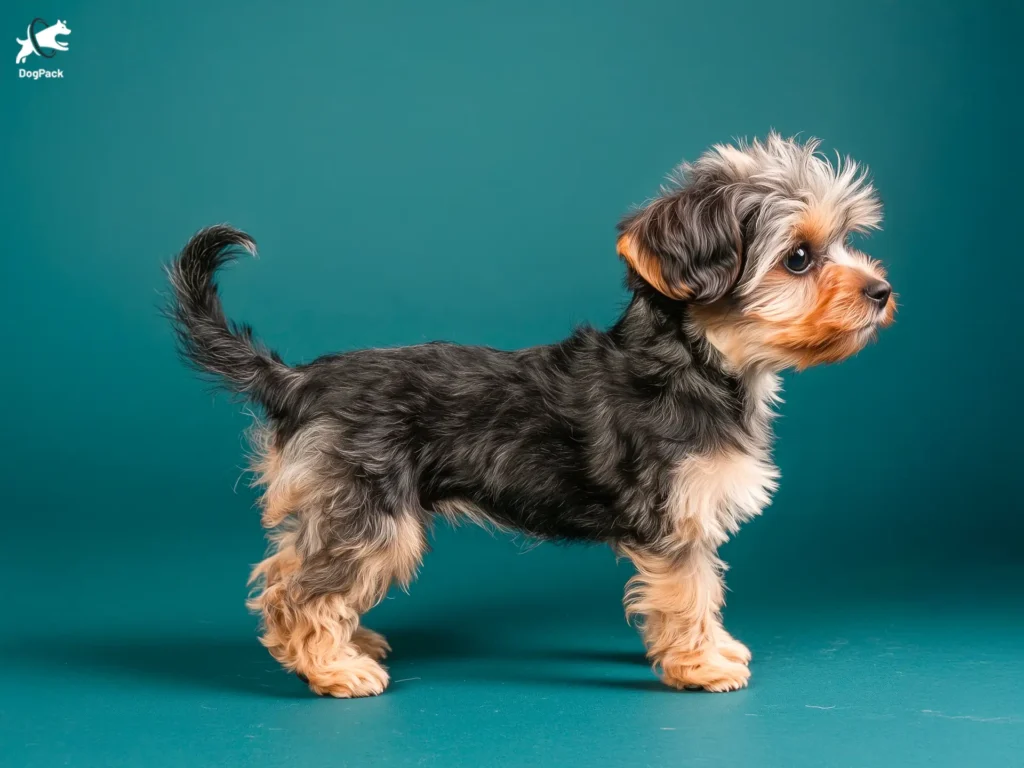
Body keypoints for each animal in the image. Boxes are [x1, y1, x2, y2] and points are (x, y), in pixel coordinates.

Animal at [167, 135, 897, 700]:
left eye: (846, 242)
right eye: (799, 258)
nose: (883, 291)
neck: (699, 359)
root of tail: (300, 381)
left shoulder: (692, 516)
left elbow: (706, 588)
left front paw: (717, 646)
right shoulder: (674, 521)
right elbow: (688, 593)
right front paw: (703, 666)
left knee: (293, 568)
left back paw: (350, 642)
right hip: (372, 513)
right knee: (295, 589)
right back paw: (332, 670)